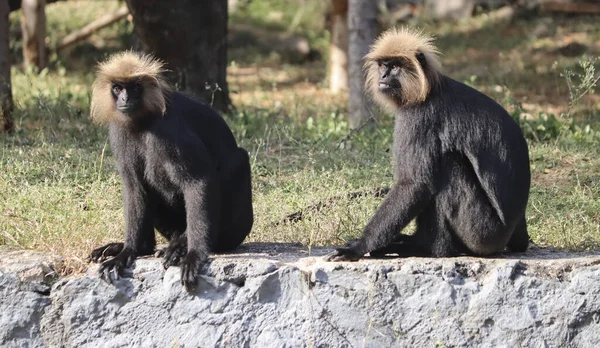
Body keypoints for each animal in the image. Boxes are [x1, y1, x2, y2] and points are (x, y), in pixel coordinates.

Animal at [86, 51, 253, 290]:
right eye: (117, 88)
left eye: (135, 87)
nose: (125, 99)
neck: (143, 120)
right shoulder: (118, 130)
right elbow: (134, 187)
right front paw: (127, 252)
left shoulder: (170, 128)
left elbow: (199, 180)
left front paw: (194, 255)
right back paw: (143, 247)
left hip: (236, 227)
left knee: (239, 158)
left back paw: (180, 245)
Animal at [328, 27, 528, 260]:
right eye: (383, 66)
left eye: (395, 67)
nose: (384, 76)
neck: (427, 90)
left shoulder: (417, 117)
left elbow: (416, 185)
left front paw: (360, 246)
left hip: (482, 233)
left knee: (449, 165)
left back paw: (428, 248)